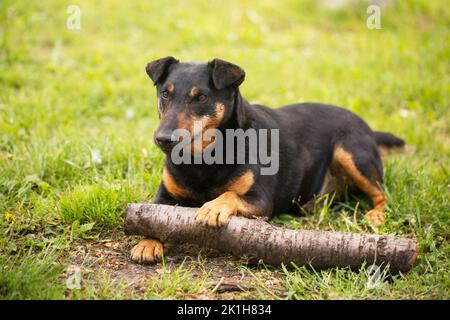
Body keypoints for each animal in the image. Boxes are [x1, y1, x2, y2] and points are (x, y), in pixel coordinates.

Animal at [129, 56, 404, 264]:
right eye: (165, 94)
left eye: (202, 98)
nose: (163, 139)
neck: (203, 158)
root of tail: (368, 127)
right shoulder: (164, 197)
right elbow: (151, 218)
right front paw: (148, 244)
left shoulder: (261, 201)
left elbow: (230, 194)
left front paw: (213, 207)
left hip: (351, 152)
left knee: (382, 194)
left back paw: (376, 215)